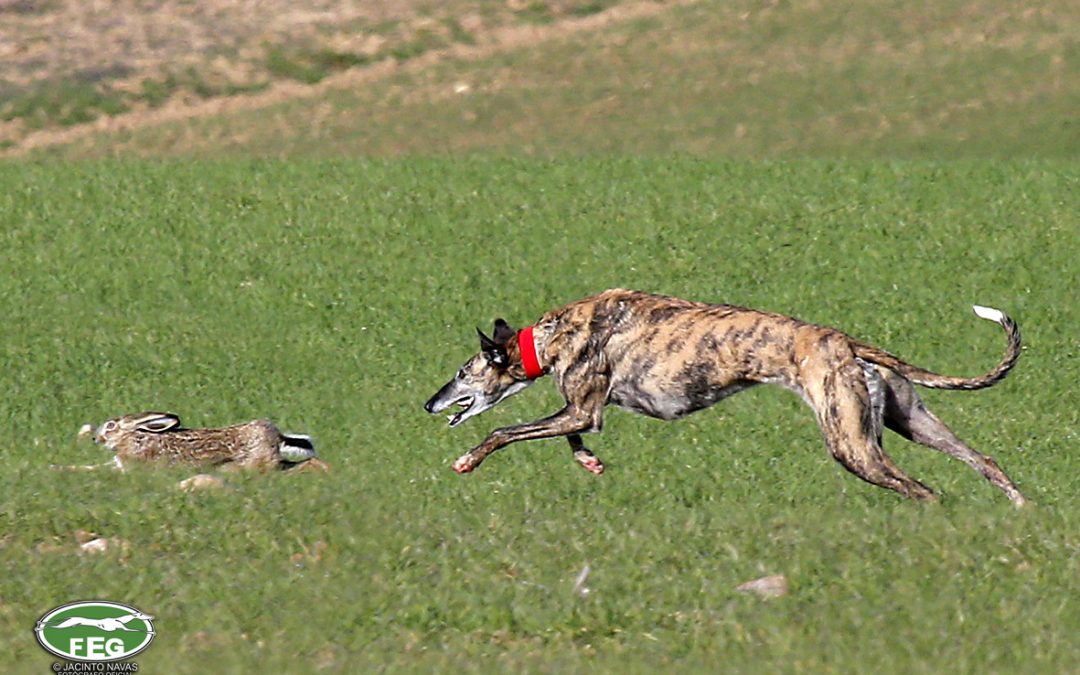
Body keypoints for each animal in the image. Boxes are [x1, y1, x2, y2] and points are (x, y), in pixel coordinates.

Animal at [423, 287, 1028, 503]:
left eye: (461, 371)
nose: (429, 403)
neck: (550, 335)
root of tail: (844, 341)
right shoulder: (584, 412)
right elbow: (575, 436)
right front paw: (590, 462)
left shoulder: (581, 405)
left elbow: (504, 428)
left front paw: (467, 460)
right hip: (912, 420)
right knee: (986, 461)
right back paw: (1018, 512)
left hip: (851, 443)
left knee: (924, 489)